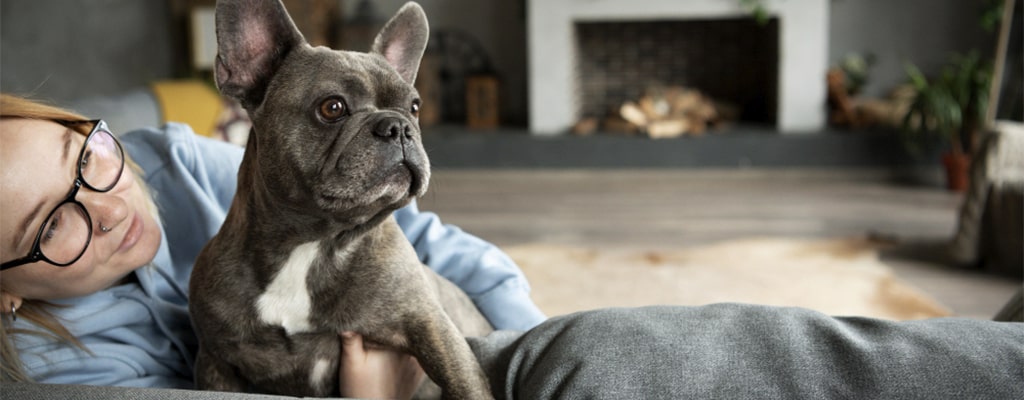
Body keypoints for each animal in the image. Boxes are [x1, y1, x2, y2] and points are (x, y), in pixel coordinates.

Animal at [191, 0, 495, 396]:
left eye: (414, 107)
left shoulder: (430, 326)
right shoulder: (216, 362)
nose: (398, 126)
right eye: (332, 107)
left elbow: (465, 383)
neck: (313, 243)